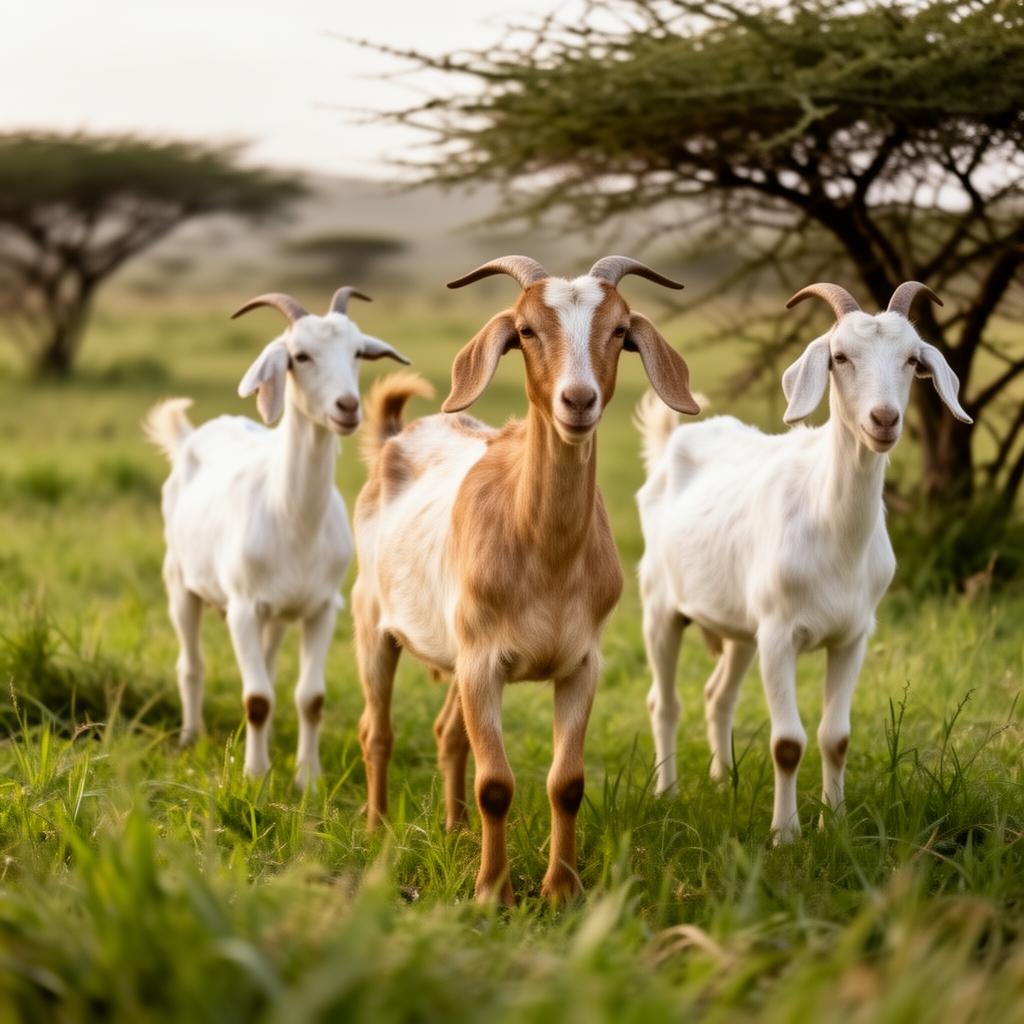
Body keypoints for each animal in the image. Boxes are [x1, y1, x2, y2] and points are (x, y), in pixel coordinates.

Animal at [145, 287, 409, 787]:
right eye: (300, 356)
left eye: (357, 352)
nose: (348, 407)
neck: (294, 519)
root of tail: (191, 436)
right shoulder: (243, 608)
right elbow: (257, 699)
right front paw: (254, 775)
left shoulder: (322, 608)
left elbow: (310, 697)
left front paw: (308, 778)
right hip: (180, 584)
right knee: (191, 665)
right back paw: (191, 736)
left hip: (279, 615)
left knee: (265, 665)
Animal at [352, 255, 700, 902]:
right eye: (527, 330)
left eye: (619, 330)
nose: (578, 400)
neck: (546, 554)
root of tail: (395, 437)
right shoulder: (482, 662)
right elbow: (496, 784)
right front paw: (493, 892)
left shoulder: (580, 664)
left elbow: (567, 782)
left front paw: (561, 888)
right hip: (373, 627)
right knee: (376, 730)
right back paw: (377, 826)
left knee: (447, 733)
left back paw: (454, 827)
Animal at [636, 281, 971, 840]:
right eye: (840, 357)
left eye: (911, 359)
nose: (884, 420)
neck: (834, 529)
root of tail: (669, 445)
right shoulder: (779, 635)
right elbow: (787, 743)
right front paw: (785, 835)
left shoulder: (852, 635)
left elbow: (836, 736)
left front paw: (833, 822)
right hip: (660, 606)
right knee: (664, 702)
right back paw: (667, 793)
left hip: (739, 627)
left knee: (717, 695)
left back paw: (722, 782)